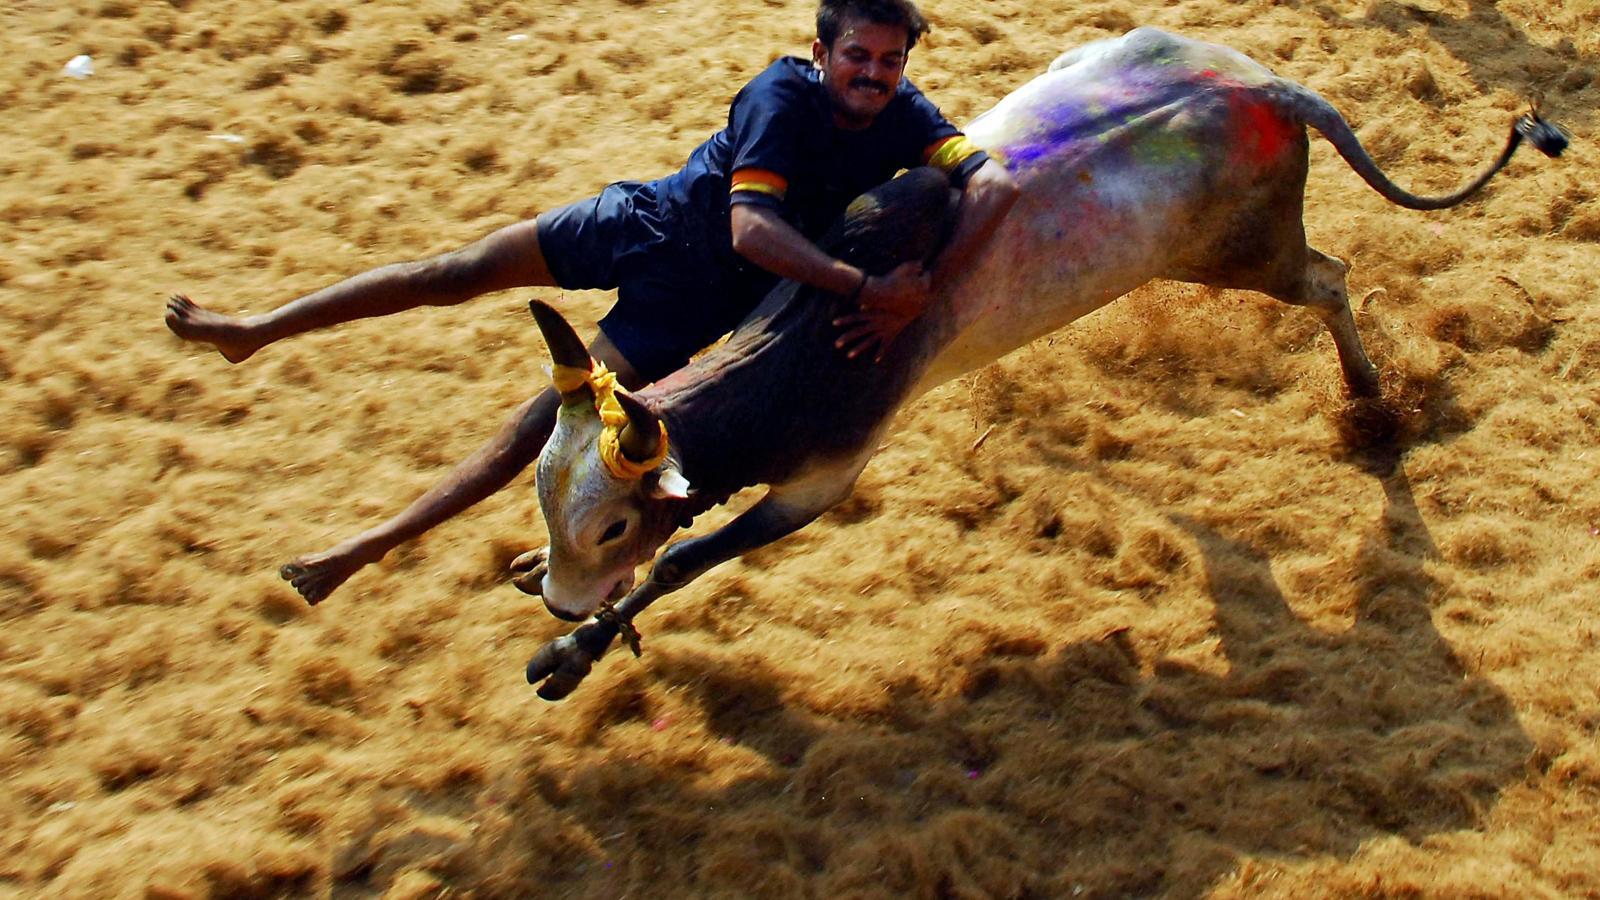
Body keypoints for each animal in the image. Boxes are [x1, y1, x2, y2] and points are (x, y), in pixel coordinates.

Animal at [516, 28, 1567, 700]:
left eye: (612, 525)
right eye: (545, 493)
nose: (563, 592)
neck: (804, 346)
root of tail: (1268, 89)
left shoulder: (823, 479)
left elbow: (686, 556)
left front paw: (570, 652)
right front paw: (543, 585)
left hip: (1245, 255)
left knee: (1331, 280)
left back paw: (1369, 397)